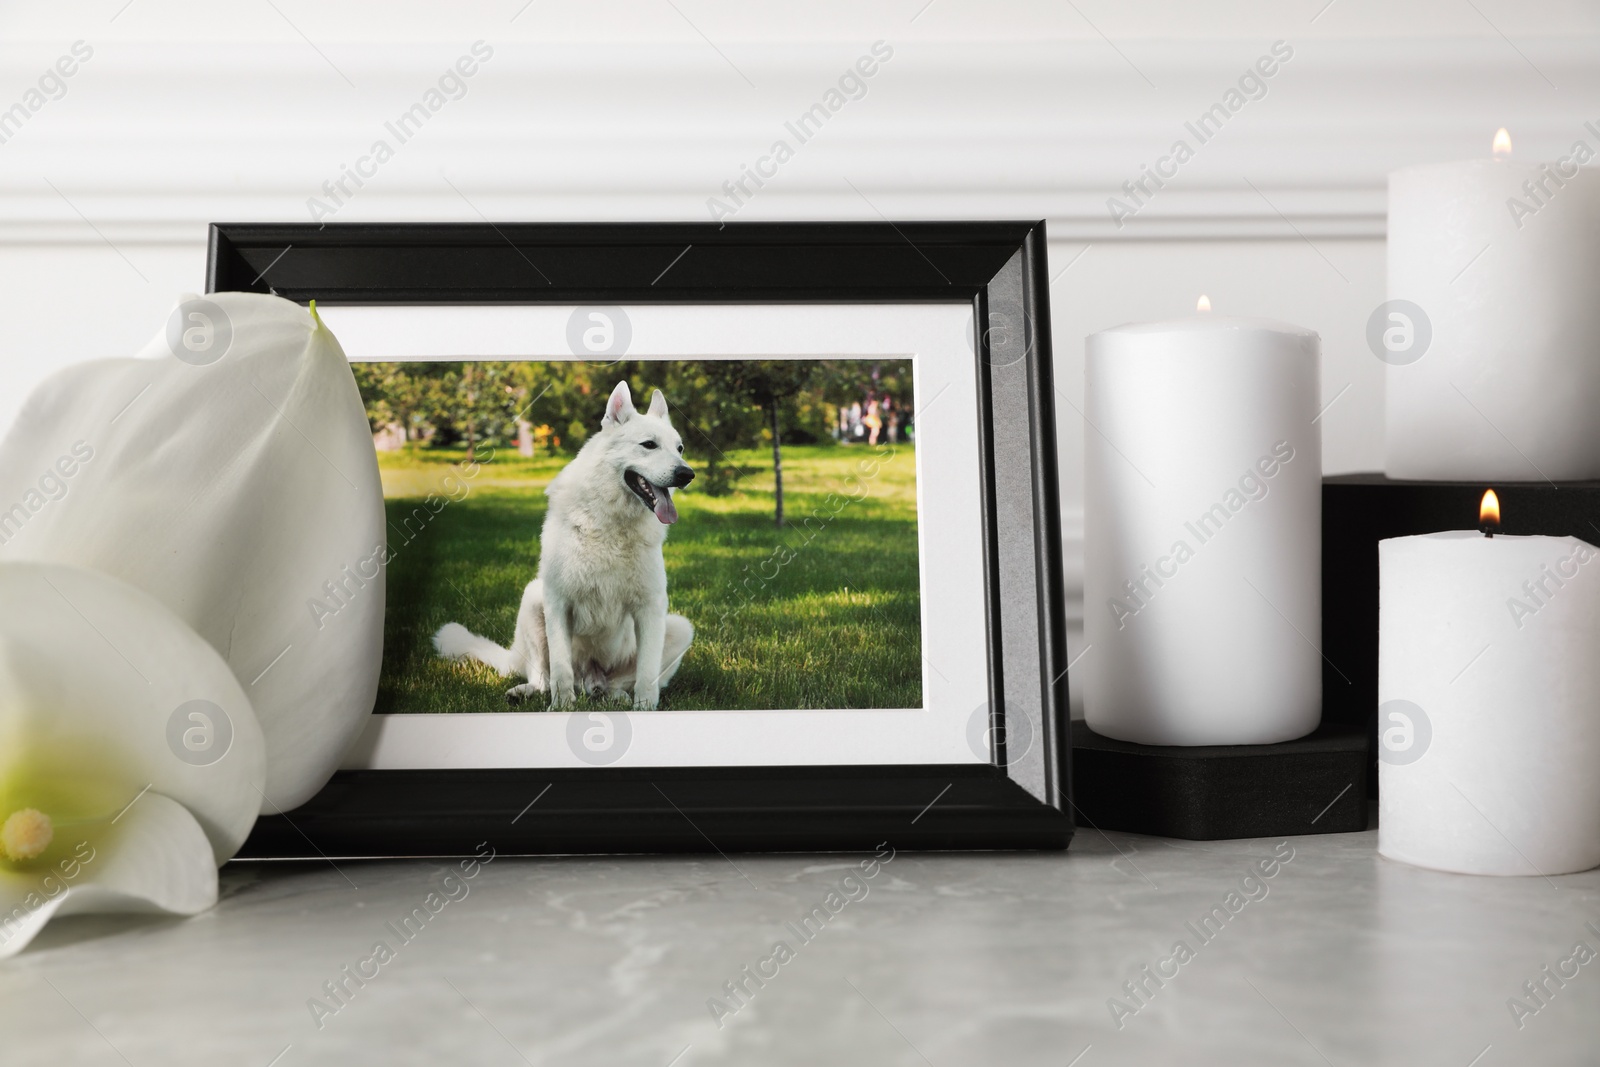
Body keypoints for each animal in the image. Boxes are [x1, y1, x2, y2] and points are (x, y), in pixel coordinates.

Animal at [432, 382, 694, 710]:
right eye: (649, 445)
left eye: (679, 448)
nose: (687, 474)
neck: (611, 524)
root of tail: (590, 678)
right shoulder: (558, 603)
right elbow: (560, 669)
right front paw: (561, 708)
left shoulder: (651, 608)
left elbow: (646, 675)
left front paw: (645, 708)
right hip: (534, 598)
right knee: (542, 677)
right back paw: (528, 692)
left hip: (680, 627)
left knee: (617, 683)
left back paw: (614, 696)